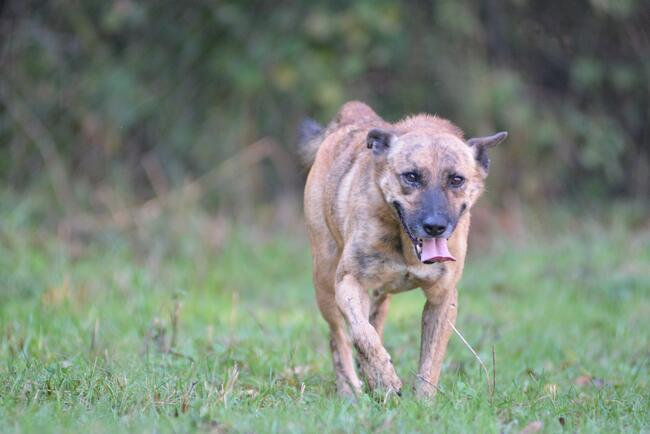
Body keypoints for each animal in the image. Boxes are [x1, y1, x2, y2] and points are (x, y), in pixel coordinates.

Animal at [298, 101, 506, 400]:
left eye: (456, 180)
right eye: (411, 176)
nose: (435, 226)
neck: (406, 249)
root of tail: (353, 113)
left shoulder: (442, 298)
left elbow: (431, 359)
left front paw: (423, 402)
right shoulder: (349, 282)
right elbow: (362, 334)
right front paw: (385, 378)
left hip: (379, 296)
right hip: (325, 281)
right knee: (339, 337)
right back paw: (352, 389)